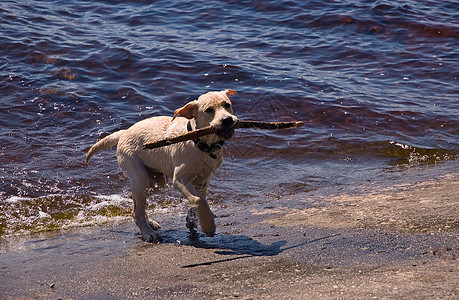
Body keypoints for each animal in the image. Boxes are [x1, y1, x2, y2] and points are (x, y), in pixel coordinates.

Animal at [86, 88, 239, 241]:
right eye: (208, 110)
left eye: (227, 104)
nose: (227, 120)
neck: (202, 145)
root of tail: (124, 133)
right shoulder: (179, 179)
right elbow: (198, 200)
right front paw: (208, 225)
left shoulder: (202, 181)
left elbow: (199, 199)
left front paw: (192, 220)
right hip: (139, 176)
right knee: (137, 210)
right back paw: (148, 233)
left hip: (155, 182)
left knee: (137, 205)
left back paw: (149, 223)